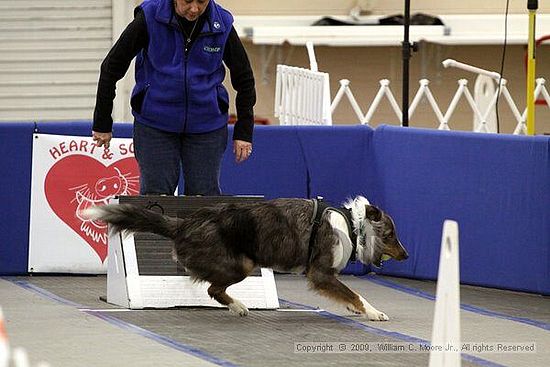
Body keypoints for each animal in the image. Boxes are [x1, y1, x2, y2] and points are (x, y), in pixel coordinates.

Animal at [83, 197, 410, 320]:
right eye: (392, 235)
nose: (407, 255)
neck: (354, 227)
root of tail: (185, 224)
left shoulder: (326, 276)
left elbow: (347, 294)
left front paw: (356, 309)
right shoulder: (320, 273)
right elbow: (355, 293)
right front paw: (373, 312)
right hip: (243, 264)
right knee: (212, 288)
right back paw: (239, 306)